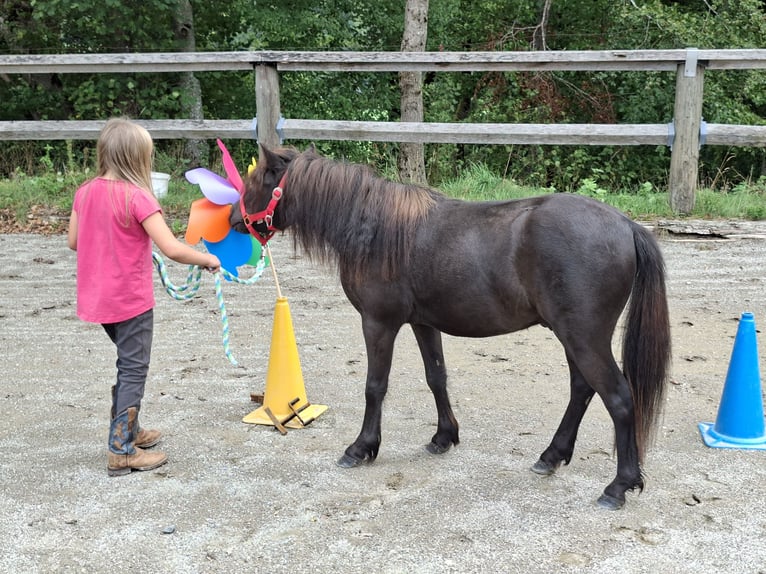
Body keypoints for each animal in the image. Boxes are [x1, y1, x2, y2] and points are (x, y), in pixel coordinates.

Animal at [230, 145, 671, 510]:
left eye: (256, 182)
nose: (234, 219)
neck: (375, 227)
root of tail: (626, 225)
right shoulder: (423, 323)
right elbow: (436, 377)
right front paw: (444, 437)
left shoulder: (378, 322)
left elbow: (375, 386)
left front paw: (362, 447)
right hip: (572, 336)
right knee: (582, 389)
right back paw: (551, 456)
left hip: (583, 337)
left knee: (618, 397)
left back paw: (619, 486)